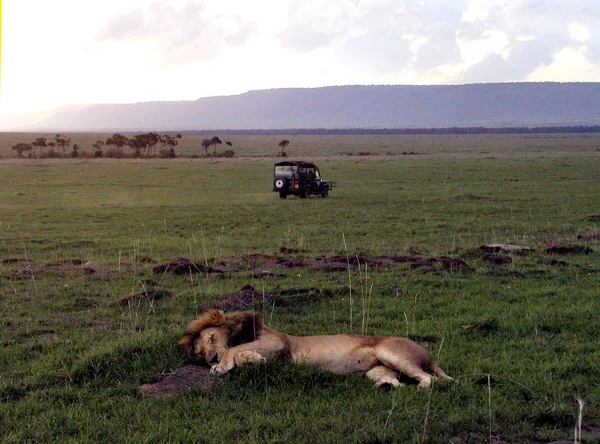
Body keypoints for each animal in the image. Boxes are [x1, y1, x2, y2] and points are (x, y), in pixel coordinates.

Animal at [180, 308, 452, 388]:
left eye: (212, 337)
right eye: (199, 352)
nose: (210, 359)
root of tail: (427, 354)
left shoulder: (278, 342)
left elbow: (231, 351)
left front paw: (221, 366)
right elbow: (242, 356)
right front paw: (253, 360)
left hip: (391, 353)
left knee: (428, 379)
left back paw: (421, 388)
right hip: (376, 371)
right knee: (397, 383)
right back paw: (384, 388)